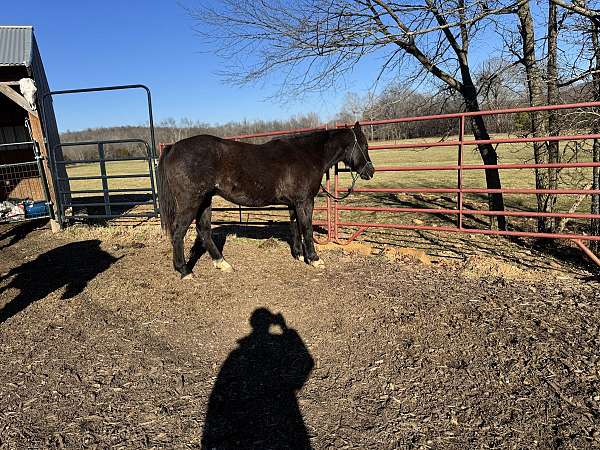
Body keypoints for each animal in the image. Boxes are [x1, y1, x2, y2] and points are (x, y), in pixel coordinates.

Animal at [157, 121, 372, 280]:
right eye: (365, 145)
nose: (370, 171)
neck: (307, 155)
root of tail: (173, 147)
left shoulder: (293, 203)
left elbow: (295, 226)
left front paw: (298, 254)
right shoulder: (304, 201)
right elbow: (307, 229)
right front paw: (314, 259)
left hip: (205, 201)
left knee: (204, 231)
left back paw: (222, 263)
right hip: (191, 202)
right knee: (178, 233)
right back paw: (185, 271)